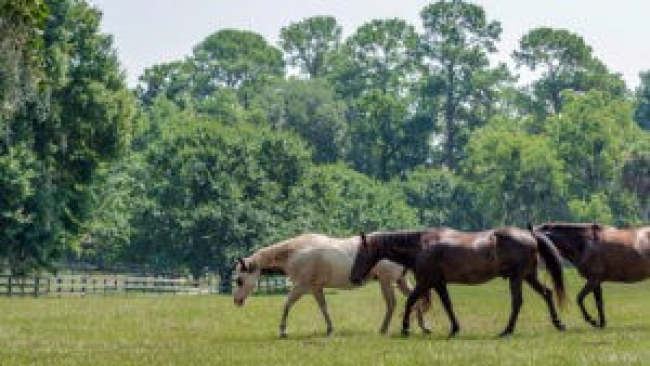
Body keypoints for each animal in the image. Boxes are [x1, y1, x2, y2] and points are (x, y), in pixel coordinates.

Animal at [233, 233, 430, 338]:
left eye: (239, 280)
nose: (236, 301)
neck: (296, 251)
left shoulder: (301, 287)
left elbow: (287, 304)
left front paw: (283, 331)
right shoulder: (315, 288)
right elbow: (324, 308)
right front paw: (330, 330)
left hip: (386, 281)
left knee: (392, 304)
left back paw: (384, 329)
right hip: (399, 281)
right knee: (415, 299)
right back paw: (422, 328)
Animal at [346, 229, 564, 338]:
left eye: (361, 253)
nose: (353, 278)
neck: (421, 245)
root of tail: (530, 235)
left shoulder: (425, 282)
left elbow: (410, 302)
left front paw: (405, 328)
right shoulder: (438, 283)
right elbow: (447, 305)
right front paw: (455, 328)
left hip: (517, 277)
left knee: (517, 301)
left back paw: (507, 330)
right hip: (528, 276)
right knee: (547, 293)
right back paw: (558, 323)